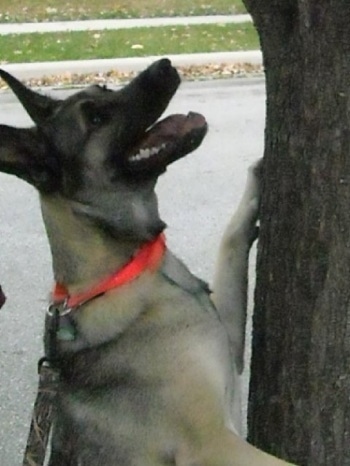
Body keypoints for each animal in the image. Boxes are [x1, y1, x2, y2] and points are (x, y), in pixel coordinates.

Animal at [0, 60, 294, 464]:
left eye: (103, 88)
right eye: (95, 118)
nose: (164, 65)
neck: (127, 268)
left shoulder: (231, 350)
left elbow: (231, 243)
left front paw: (255, 182)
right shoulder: (211, 443)